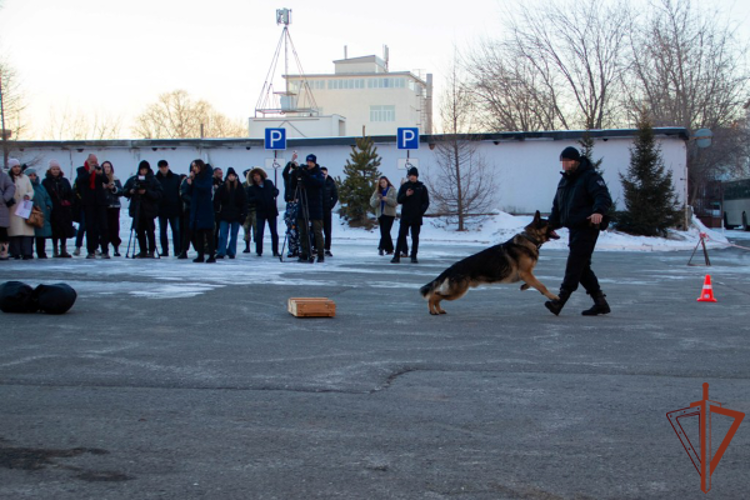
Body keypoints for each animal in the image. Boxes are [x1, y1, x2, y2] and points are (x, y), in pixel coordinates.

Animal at [420, 212, 560, 314]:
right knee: (435, 295)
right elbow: (542, 285)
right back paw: (433, 311)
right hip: (457, 292)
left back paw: (438, 310)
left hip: (455, 292)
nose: (560, 220)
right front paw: (553, 297)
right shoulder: (525, 273)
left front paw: (524, 287)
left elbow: (534, 283)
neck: (530, 239)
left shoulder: (527, 274)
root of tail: (451, 268)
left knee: (438, 296)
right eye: (548, 223)